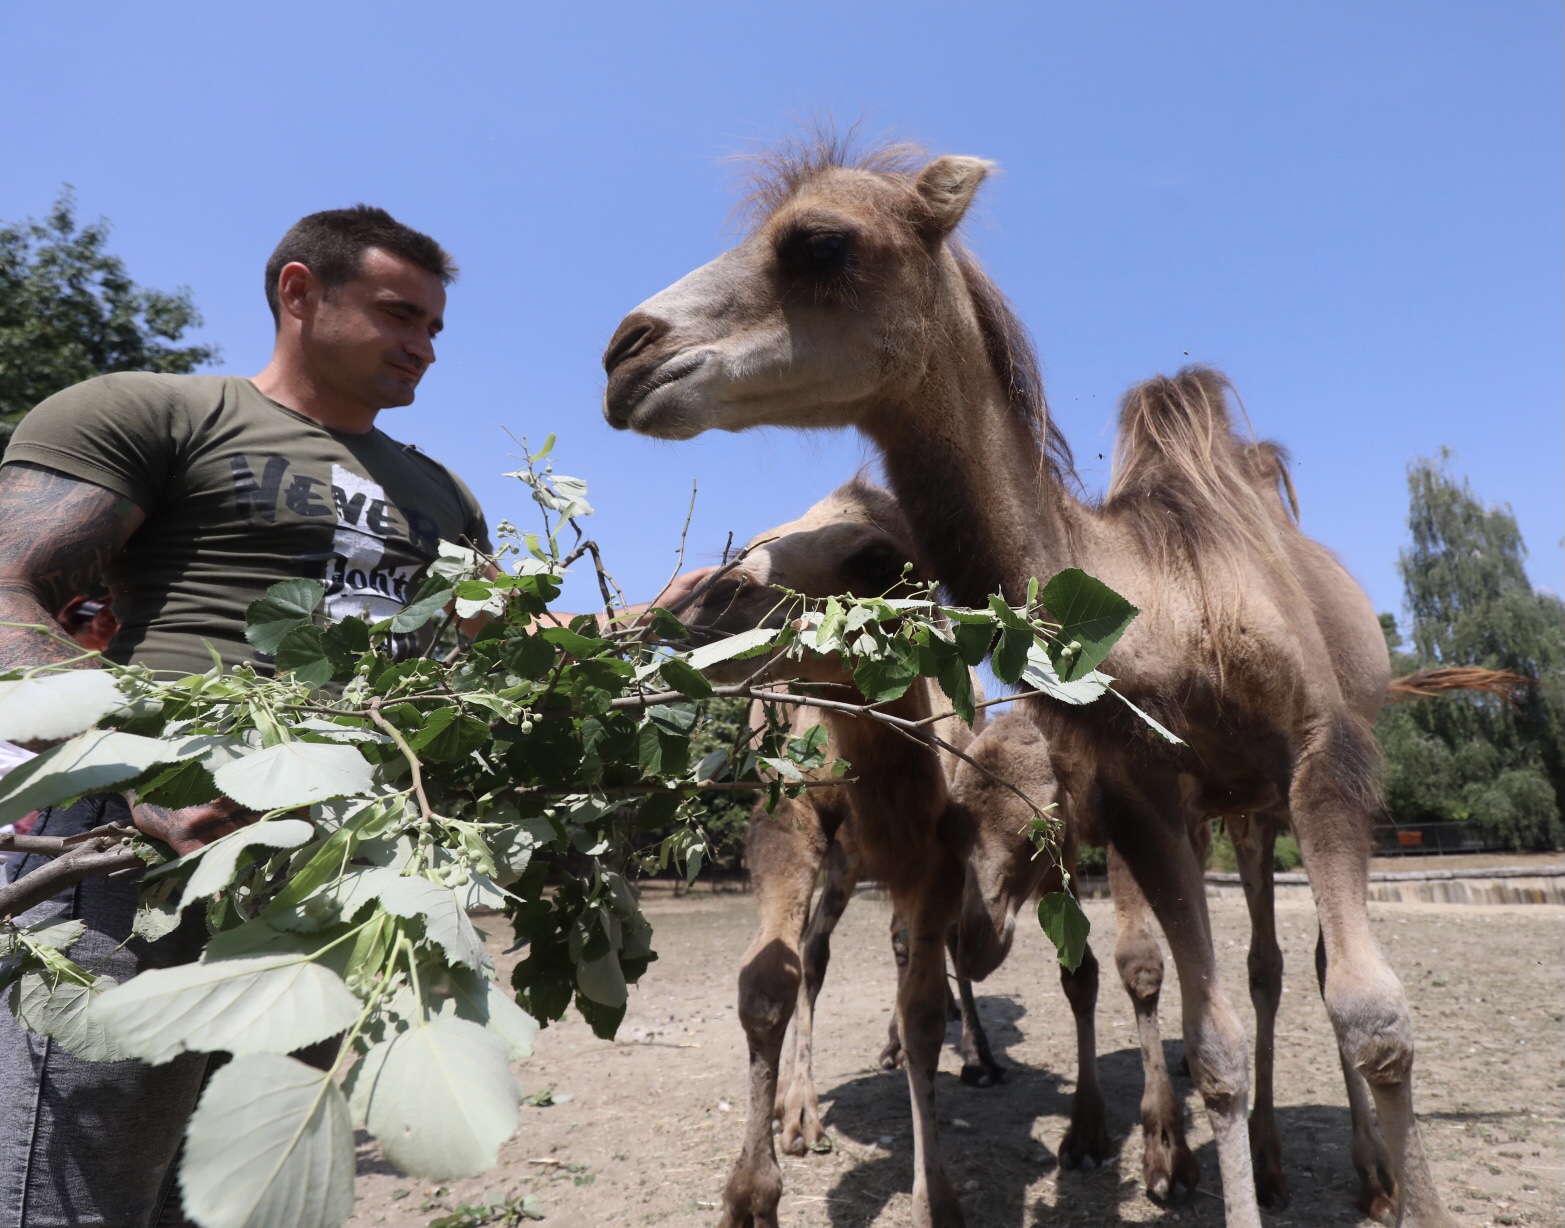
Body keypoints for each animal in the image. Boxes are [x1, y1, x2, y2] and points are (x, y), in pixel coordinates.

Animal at [682, 478, 1114, 1226]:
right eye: (754, 540)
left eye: (877, 558)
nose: (714, 598)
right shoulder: (788, 817)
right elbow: (769, 981)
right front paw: (750, 1195)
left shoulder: (933, 854)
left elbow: (922, 1013)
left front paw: (935, 1199)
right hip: (842, 859)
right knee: (820, 955)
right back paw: (800, 1112)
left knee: (908, 955)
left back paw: (975, 1056)